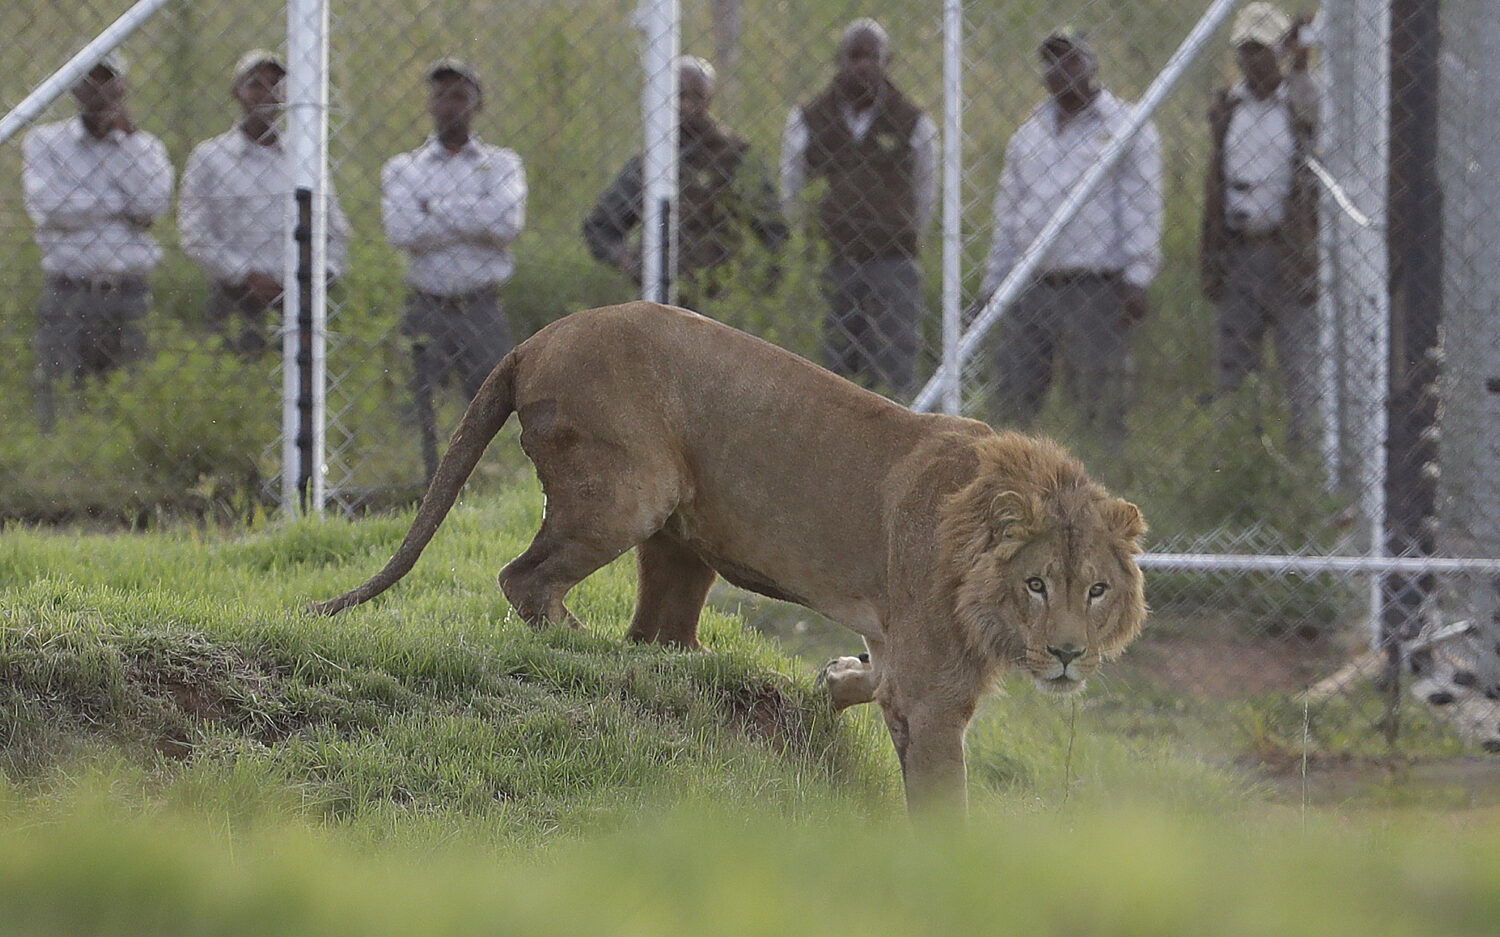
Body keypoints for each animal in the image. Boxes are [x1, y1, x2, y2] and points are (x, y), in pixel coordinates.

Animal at [310, 302, 1147, 811]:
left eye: (1097, 589)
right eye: (1037, 583)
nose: (1068, 653)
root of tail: (537, 338)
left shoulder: (897, 649)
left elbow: (862, 677)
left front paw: (830, 678)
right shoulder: (936, 694)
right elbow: (944, 798)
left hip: (682, 537)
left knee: (657, 632)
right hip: (628, 493)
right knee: (527, 581)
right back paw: (586, 648)